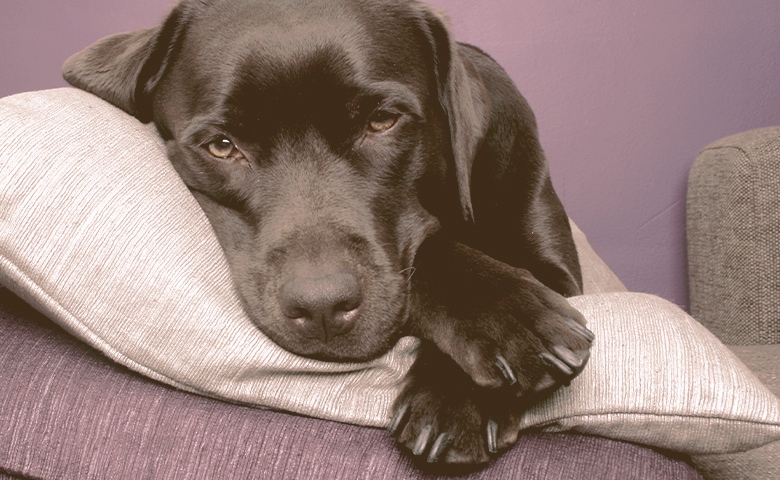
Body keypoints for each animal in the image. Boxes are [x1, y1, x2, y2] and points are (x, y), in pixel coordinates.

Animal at [64, 0, 596, 466]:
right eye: (222, 146)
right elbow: (431, 248)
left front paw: (463, 389)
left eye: (382, 121)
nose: (321, 306)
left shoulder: (558, 267)